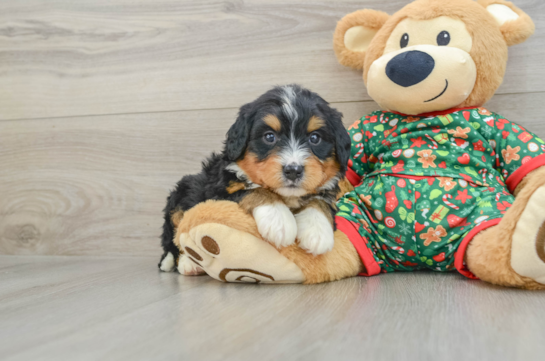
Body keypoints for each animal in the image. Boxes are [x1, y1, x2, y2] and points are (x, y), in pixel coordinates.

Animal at [158, 84, 352, 272]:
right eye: (269, 136)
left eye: (315, 138)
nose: (293, 170)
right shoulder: (219, 193)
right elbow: (255, 190)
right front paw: (279, 220)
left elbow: (320, 201)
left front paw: (318, 231)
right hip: (181, 196)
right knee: (174, 238)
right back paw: (188, 263)